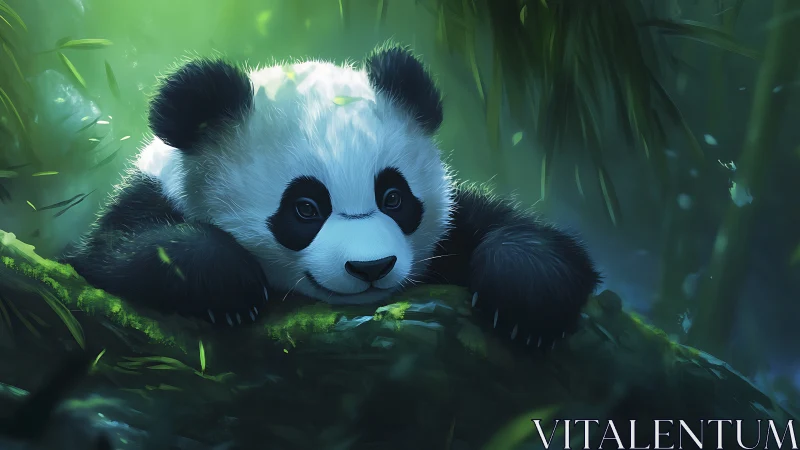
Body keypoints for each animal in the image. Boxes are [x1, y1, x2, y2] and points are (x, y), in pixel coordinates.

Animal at [64, 42, 600, 348]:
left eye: (393, 198)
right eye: (305, 208)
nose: (372, 268)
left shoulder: (456, 226)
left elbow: (526, 236)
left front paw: (528, 300)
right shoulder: (148, 199)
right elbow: (115, 256)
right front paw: (228, 285)